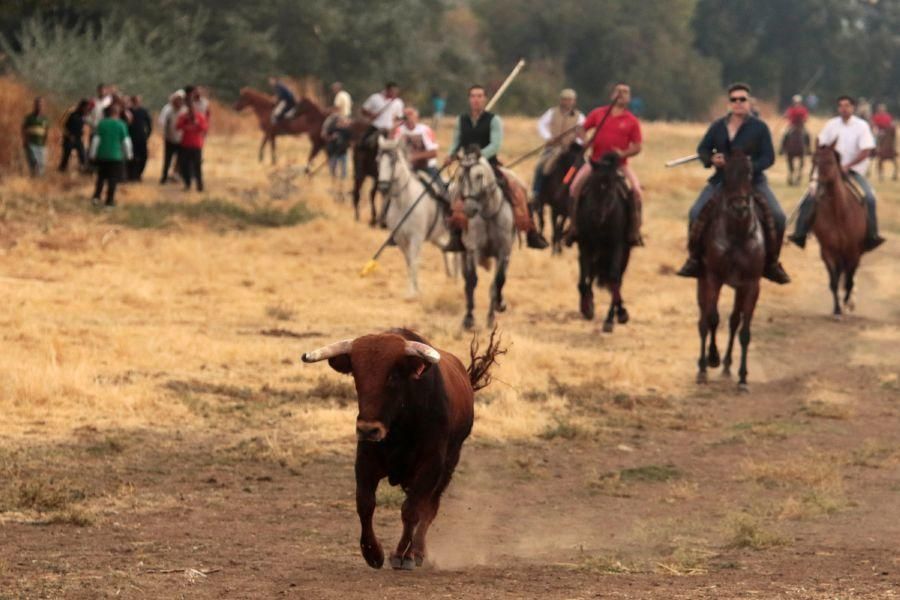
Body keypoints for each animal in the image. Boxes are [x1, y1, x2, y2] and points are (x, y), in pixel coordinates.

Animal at [374, 135, 458, 296]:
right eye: (378, 160)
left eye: (393, 161)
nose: (383, 187)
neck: (404, 202)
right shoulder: (400, 238)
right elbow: (409, 262)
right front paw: (414, 289)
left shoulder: (416, 237)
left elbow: (414, 261)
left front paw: (412, 294)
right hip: (436, 236)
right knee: (447, 250)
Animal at [448, 148, 512, 330]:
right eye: (460, 177)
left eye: (479, 175)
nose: (469, 208)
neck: (488, 213)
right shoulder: (472, 250)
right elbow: (472, 281)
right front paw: (468, 319)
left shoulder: (504, 251)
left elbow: (498, 281)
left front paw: (497, 308)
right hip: (463, 253)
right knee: (466, 279)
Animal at [692, 148, 764, 386]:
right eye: (726, 173)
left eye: (749, 173)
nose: (740, 208)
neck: (737, 235)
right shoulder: (714, 278)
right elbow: (713, 319)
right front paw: (710, 360)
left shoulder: (751, 284)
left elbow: (744, 330)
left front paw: (742, 378)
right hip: (702, 281)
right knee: (703, 320)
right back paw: (703, 366)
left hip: (738, 289)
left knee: (734, 321)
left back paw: (726, 366)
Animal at [812, 143, 868, 316]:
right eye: (813, 160)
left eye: (830, 162)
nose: (814, 188)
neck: (839, 212)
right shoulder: (827, 252)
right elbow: (834, 281)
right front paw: (837, 309)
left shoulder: (854, 252)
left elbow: (849, 280)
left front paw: (847, 304)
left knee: (850, 276)